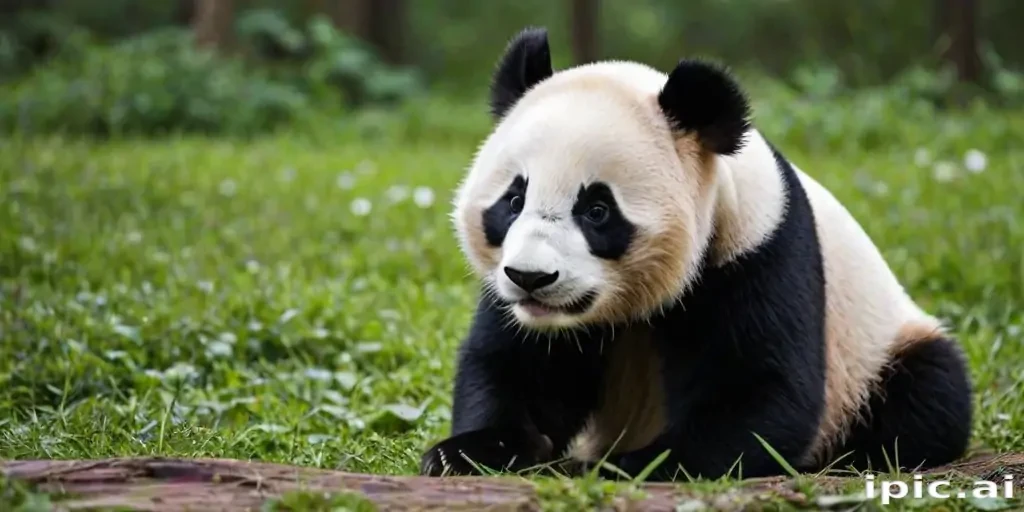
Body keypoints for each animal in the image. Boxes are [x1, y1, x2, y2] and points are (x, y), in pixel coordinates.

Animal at [419, 26, 973, 481]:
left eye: (597, 210)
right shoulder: (523, 310)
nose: (531, 278)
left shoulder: (756, 251)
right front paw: (465, 453)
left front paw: (629, 466)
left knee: (928, 393)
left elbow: (761, 389)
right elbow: (513, 366)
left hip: (879, 348)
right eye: (514, 200)